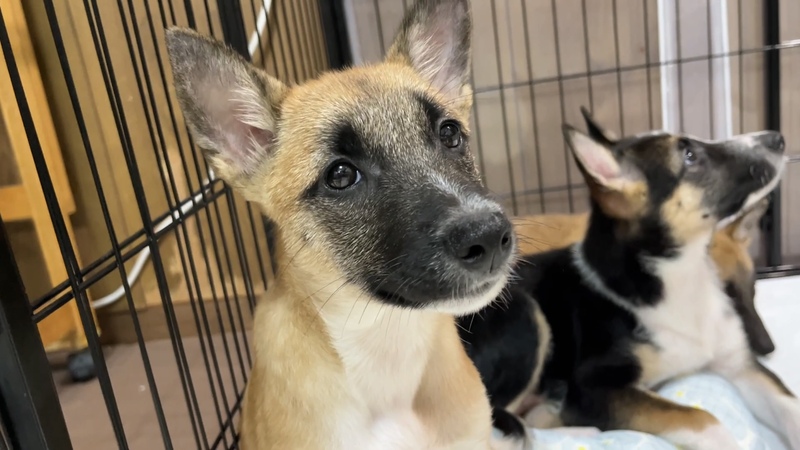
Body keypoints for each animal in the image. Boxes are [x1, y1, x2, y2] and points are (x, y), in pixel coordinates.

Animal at [459, 110, 799, 449]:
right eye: (689, 156)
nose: (776, 138)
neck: (680, 274)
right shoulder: (594, 389)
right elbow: (701, 419)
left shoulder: (740, 365)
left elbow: (790, 407)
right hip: (525, 316)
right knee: (495, 421)